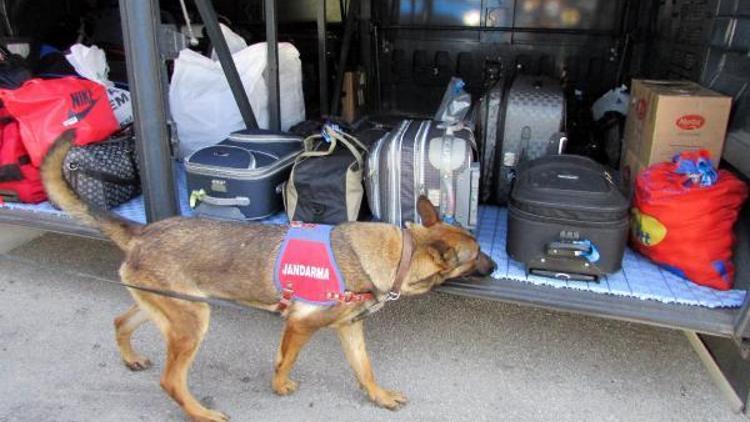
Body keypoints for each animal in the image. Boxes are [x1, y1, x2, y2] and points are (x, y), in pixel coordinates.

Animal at [42, 134, 500, 420]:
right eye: (478, 253)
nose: (496, 267)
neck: (395, 254)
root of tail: (142, 232)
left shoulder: (349, 330)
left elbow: (365, 369)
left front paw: (379, 397)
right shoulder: (298, 326)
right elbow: (284, 360)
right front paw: (280, 387)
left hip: (174, 308)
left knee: (121, 321)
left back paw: (131, 357)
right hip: (192, 322)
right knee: (171, 381)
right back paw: (202, 414)